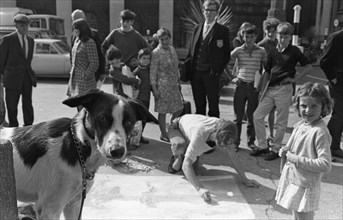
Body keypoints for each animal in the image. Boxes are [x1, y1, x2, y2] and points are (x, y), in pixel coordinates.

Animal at [0, 89, 159, 218]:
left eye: (129, 122)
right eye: (102, 118)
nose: (117, 151)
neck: (78, 147)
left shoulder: (74, 204)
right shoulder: (49, 209)